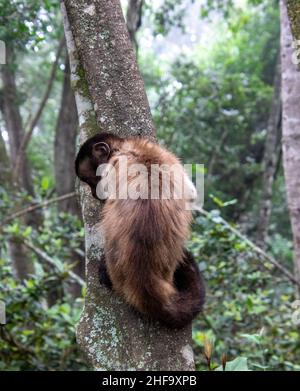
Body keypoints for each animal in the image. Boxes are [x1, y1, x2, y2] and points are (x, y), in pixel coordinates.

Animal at [76, 133, 205, 330]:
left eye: (92, 182)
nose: (93, 193)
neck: (125, 148)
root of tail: (144, 279)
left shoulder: (114, 165)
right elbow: (191, 193)